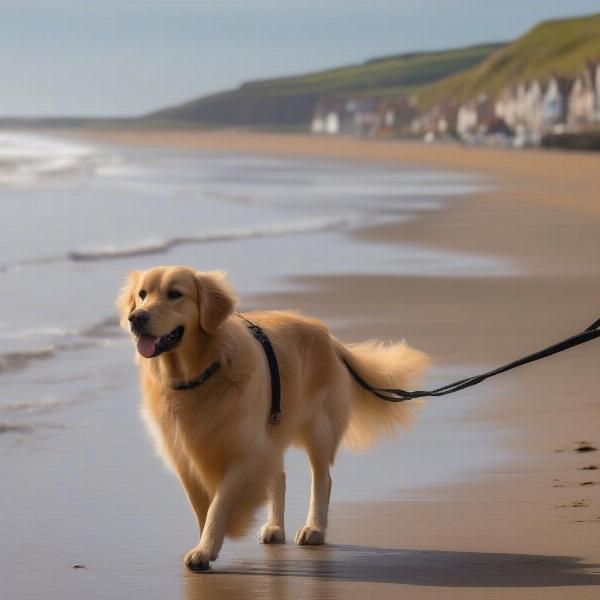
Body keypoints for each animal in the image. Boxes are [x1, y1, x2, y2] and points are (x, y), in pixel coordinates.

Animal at [116, 268, 426, 572]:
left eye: (175, 294)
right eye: (142, 295)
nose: (136, 318)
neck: (200, 372)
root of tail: (329, 337)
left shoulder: (245, 451)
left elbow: (219, 503)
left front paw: (207, 547)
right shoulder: (183, 451)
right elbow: (200, 504)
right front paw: (206, 543)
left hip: (319, 428)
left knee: (322, 479)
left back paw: (314, 528)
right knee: (280, 476)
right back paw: (275, 527)